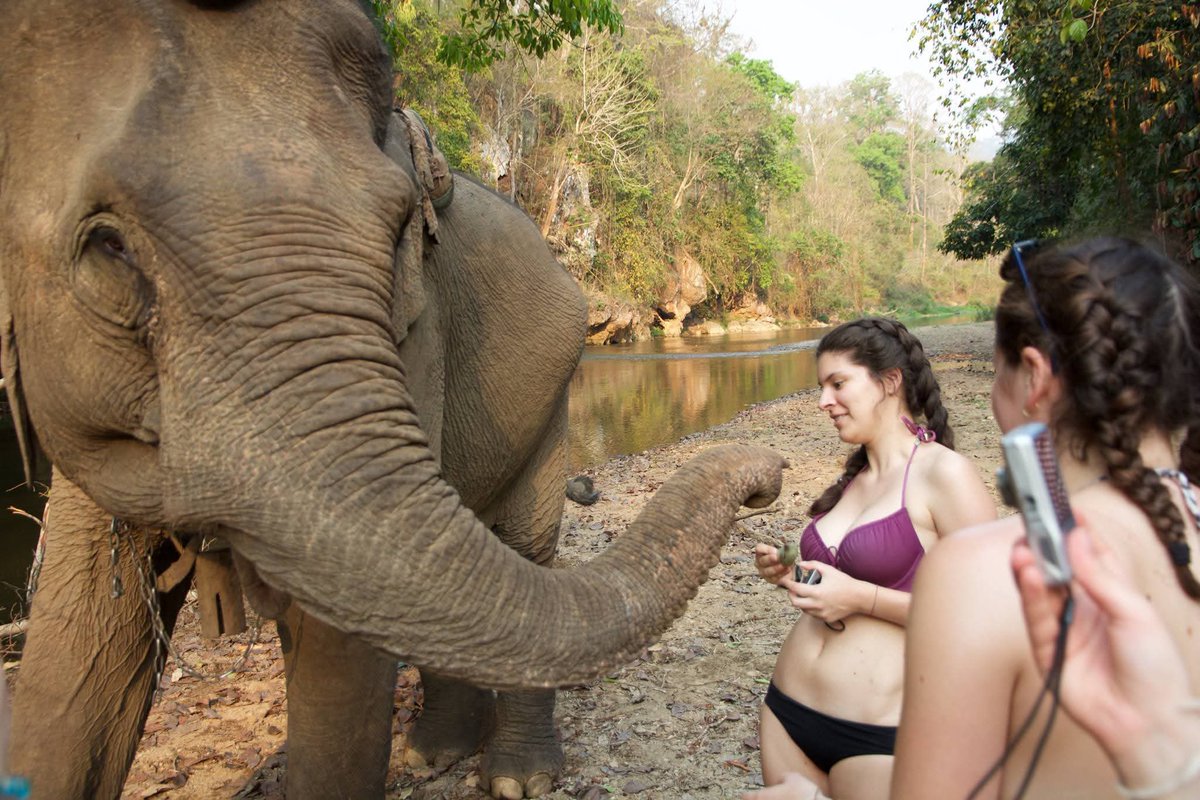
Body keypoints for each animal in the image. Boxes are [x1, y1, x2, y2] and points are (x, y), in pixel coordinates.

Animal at [0, 1, 786, 798]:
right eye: (107, 245)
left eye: (395, 227)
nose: (771, 480)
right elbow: (81, 649)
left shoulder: (417, 332)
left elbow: (340, 650)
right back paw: (434, 754)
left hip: (552, 402)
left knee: (524, 546)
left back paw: (515, 778)